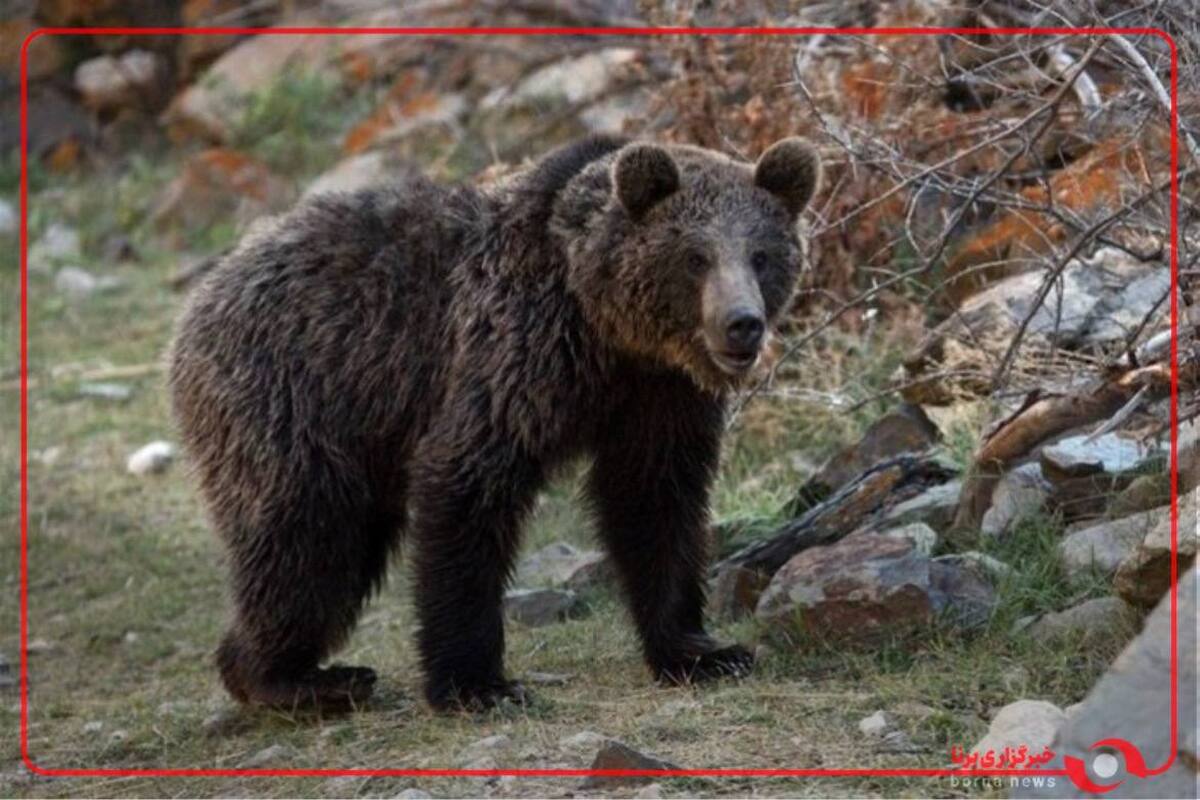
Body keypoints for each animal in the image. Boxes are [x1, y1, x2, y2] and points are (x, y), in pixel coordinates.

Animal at [169, 133, 820, 714]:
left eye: (761, 254)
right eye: (694, 256)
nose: (742, 324)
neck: (605, 330)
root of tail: (207, 290)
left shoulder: (660, 399)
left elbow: (655, 502)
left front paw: (702, 652)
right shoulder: (513, 355)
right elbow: (467, 487)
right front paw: (477, 684)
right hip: (296, 395)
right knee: (308, 536)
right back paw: (292, 679)